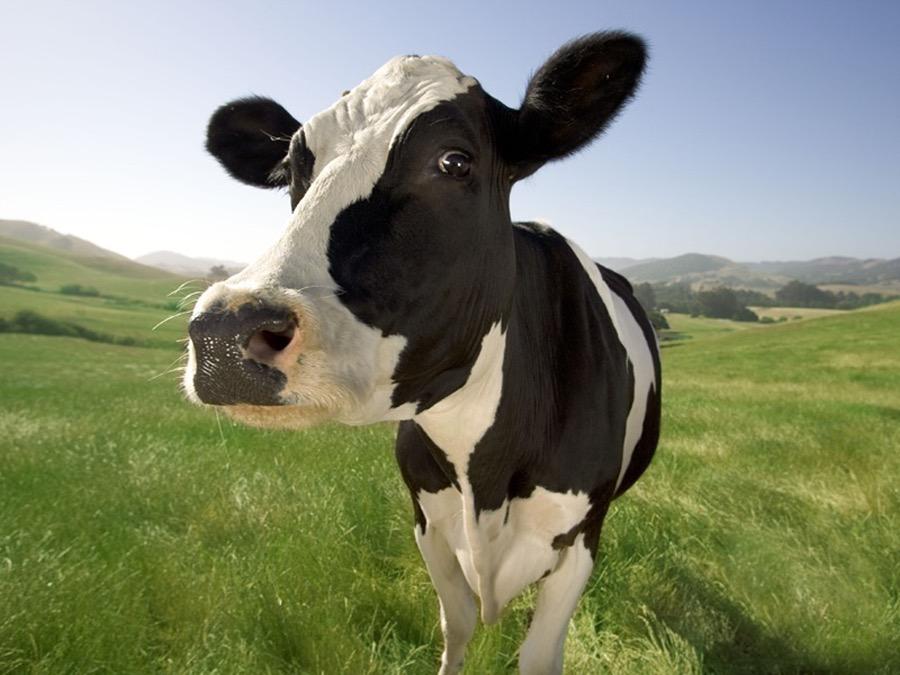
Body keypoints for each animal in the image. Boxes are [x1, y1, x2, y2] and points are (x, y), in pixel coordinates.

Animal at [184, 31, 660, 675]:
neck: (483, 471)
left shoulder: (580, 539)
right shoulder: (427, 523)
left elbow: (539, 654)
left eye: (454, 161)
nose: (223, 332)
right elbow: (456, 625)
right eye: (291, 171)